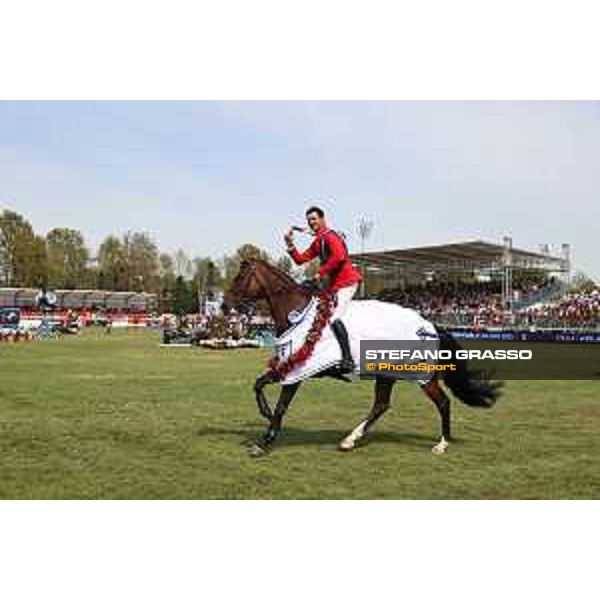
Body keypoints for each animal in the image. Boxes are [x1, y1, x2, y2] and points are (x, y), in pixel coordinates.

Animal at [230, 258, 502, 460]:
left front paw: (265, 441)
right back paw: (349, 440)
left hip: (422, 376)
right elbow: (258, 384)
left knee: (443, 403)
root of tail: (431, 326)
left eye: (241, 276)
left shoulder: (297, 370)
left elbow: (281, 406)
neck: (298, 313)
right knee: (381, 404)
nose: (226, 304)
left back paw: (441, 444)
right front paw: (264, 417)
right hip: (386, 374)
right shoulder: (287, 366)